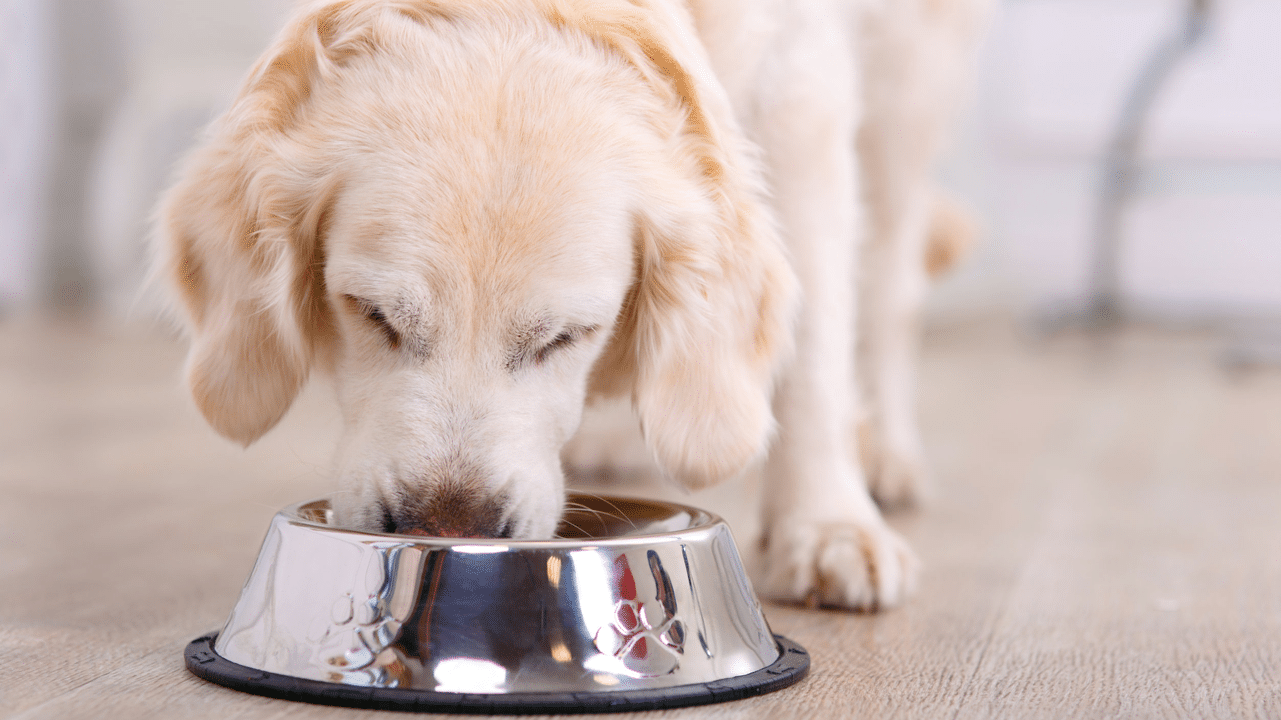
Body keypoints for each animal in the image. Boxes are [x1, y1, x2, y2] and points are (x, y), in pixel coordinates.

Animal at [155, 0, 983, 607]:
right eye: (371, 314)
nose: (449, 528)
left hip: (906, 90)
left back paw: (886, 455)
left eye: (566, 336)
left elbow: (813, 347)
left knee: (888, 285)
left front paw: (827, 525)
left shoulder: (800, 91)